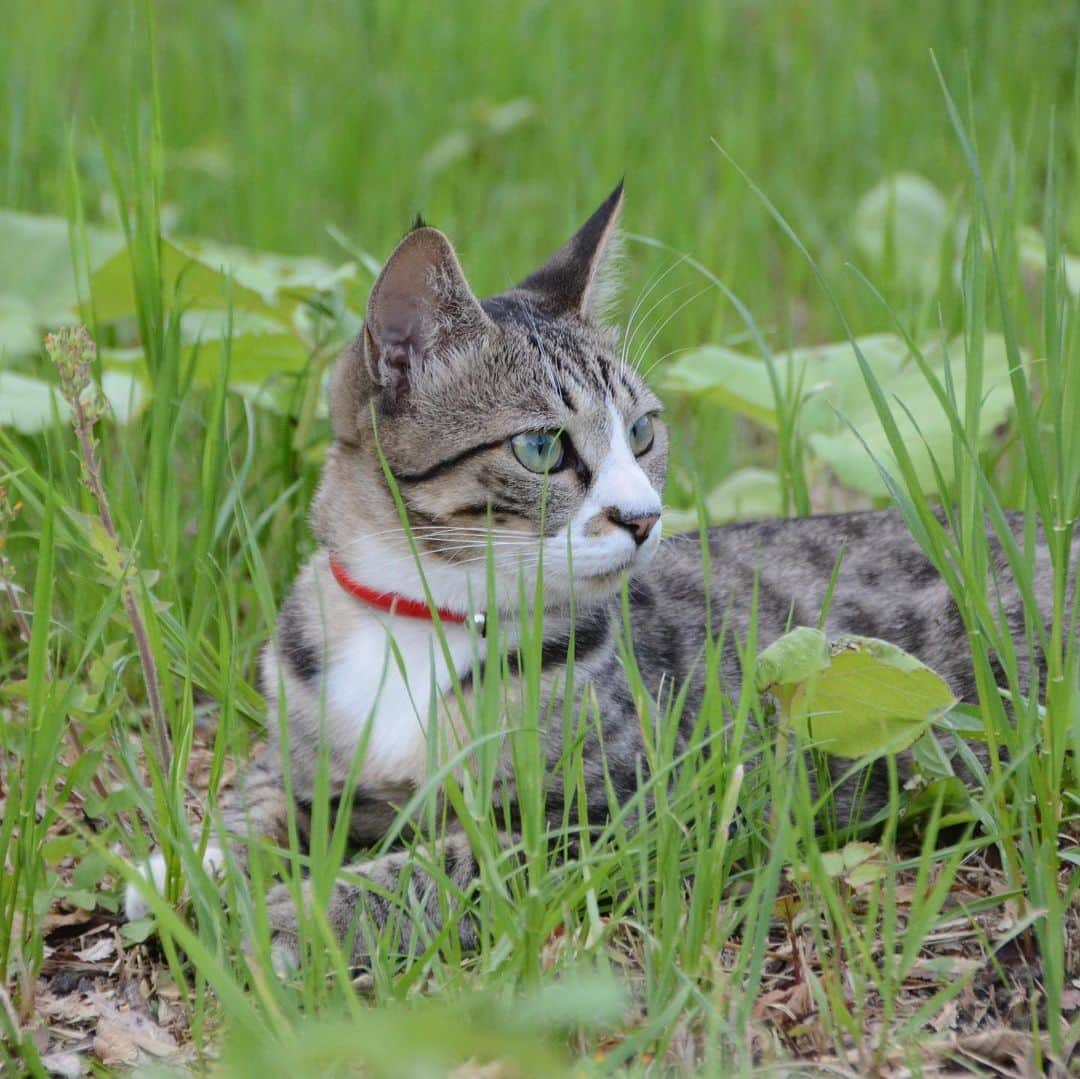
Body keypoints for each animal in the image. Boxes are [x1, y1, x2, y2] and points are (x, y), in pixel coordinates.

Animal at [122, 181, 1067, 967]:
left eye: (641, 432)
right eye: (543, 447)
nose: (644, 516)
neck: (418, 618)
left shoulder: (622, 808)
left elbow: (443, 864)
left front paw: (300, 912)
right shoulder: (308, 729)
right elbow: (258, 794)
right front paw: (191, 863)